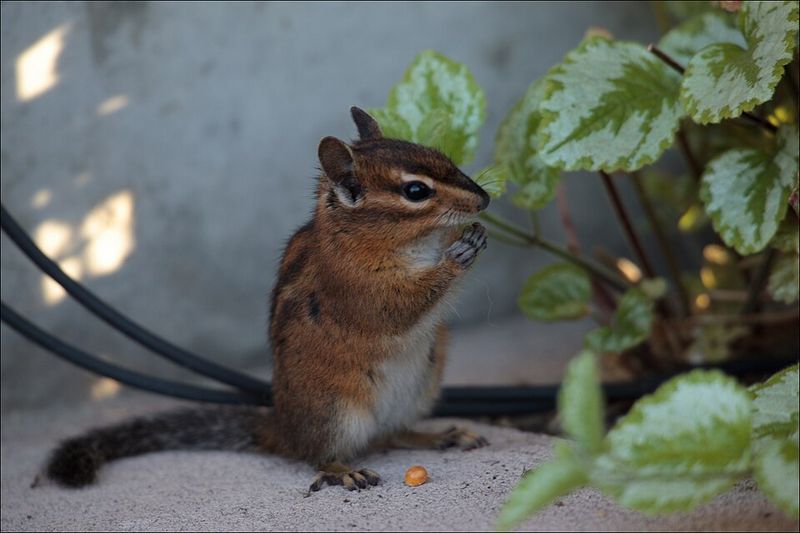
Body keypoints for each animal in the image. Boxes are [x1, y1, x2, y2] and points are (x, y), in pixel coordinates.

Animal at [42, 107, 491, 492]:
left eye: (443, 156)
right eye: (416, 190)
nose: (484, 199)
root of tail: (282, 428)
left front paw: (472, 234)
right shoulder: (357, 287)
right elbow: (400, 305)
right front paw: (458, 254)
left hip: (423, 382)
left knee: (392, 435)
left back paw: (442, 435)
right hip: (335, 410)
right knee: (322, 453)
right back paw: (341, 470)